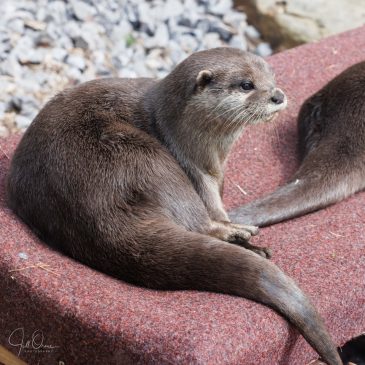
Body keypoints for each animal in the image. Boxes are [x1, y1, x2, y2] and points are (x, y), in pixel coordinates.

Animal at [6, 47, 342, 364]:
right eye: (247, 84)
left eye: (272, 77)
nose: (277, 95)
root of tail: (92, 210)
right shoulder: (193, 169)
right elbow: (210, 208)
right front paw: (234, 227)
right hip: (147, 159)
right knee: (197, 222)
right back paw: (244, 236)